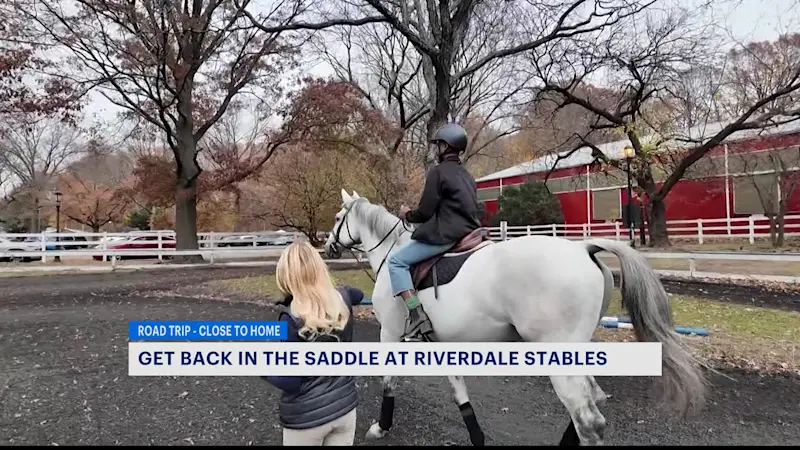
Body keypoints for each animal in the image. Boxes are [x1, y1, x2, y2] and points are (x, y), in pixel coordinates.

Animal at [324, 190, 708, 446]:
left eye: (337, 218)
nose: (328, 246)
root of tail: (583, 247)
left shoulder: (389, 333)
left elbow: (389, 381)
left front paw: (381, 426)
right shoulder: (442, 341)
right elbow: (458, 390)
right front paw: (476, 434)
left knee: (588, 419)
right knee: (590, 404)